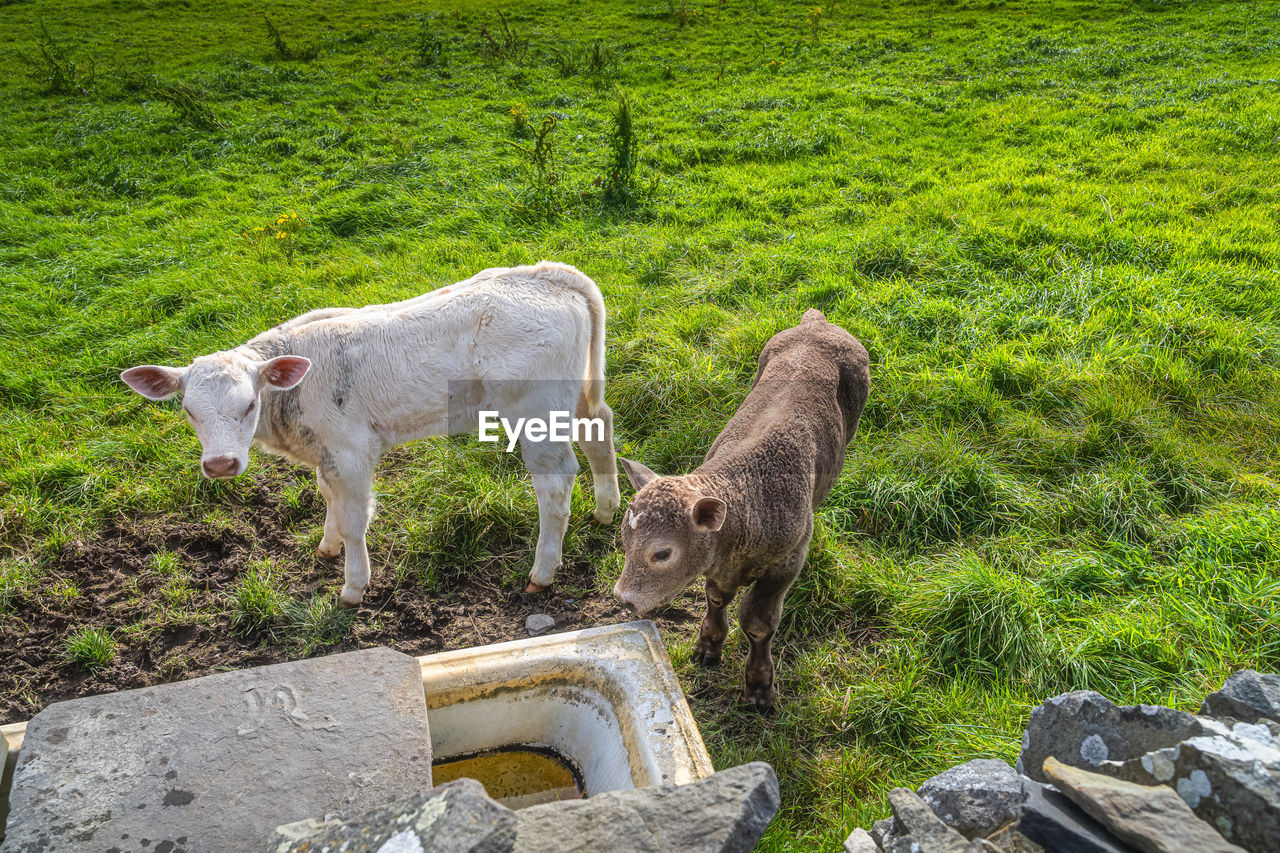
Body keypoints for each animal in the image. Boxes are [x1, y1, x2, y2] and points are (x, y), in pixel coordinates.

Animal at [120, 262, 619, 601]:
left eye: (249, 404)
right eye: (189, 411)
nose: (222, 464)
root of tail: (547, 274)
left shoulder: (352, 451)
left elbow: (354, 518)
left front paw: (353, 586)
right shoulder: (327, 453)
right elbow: (328, 497)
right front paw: (326, 546)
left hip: (535, 411)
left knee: (556, 481)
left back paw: (543, 571)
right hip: (575, 394)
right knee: (599, 427)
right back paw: (606, 510)